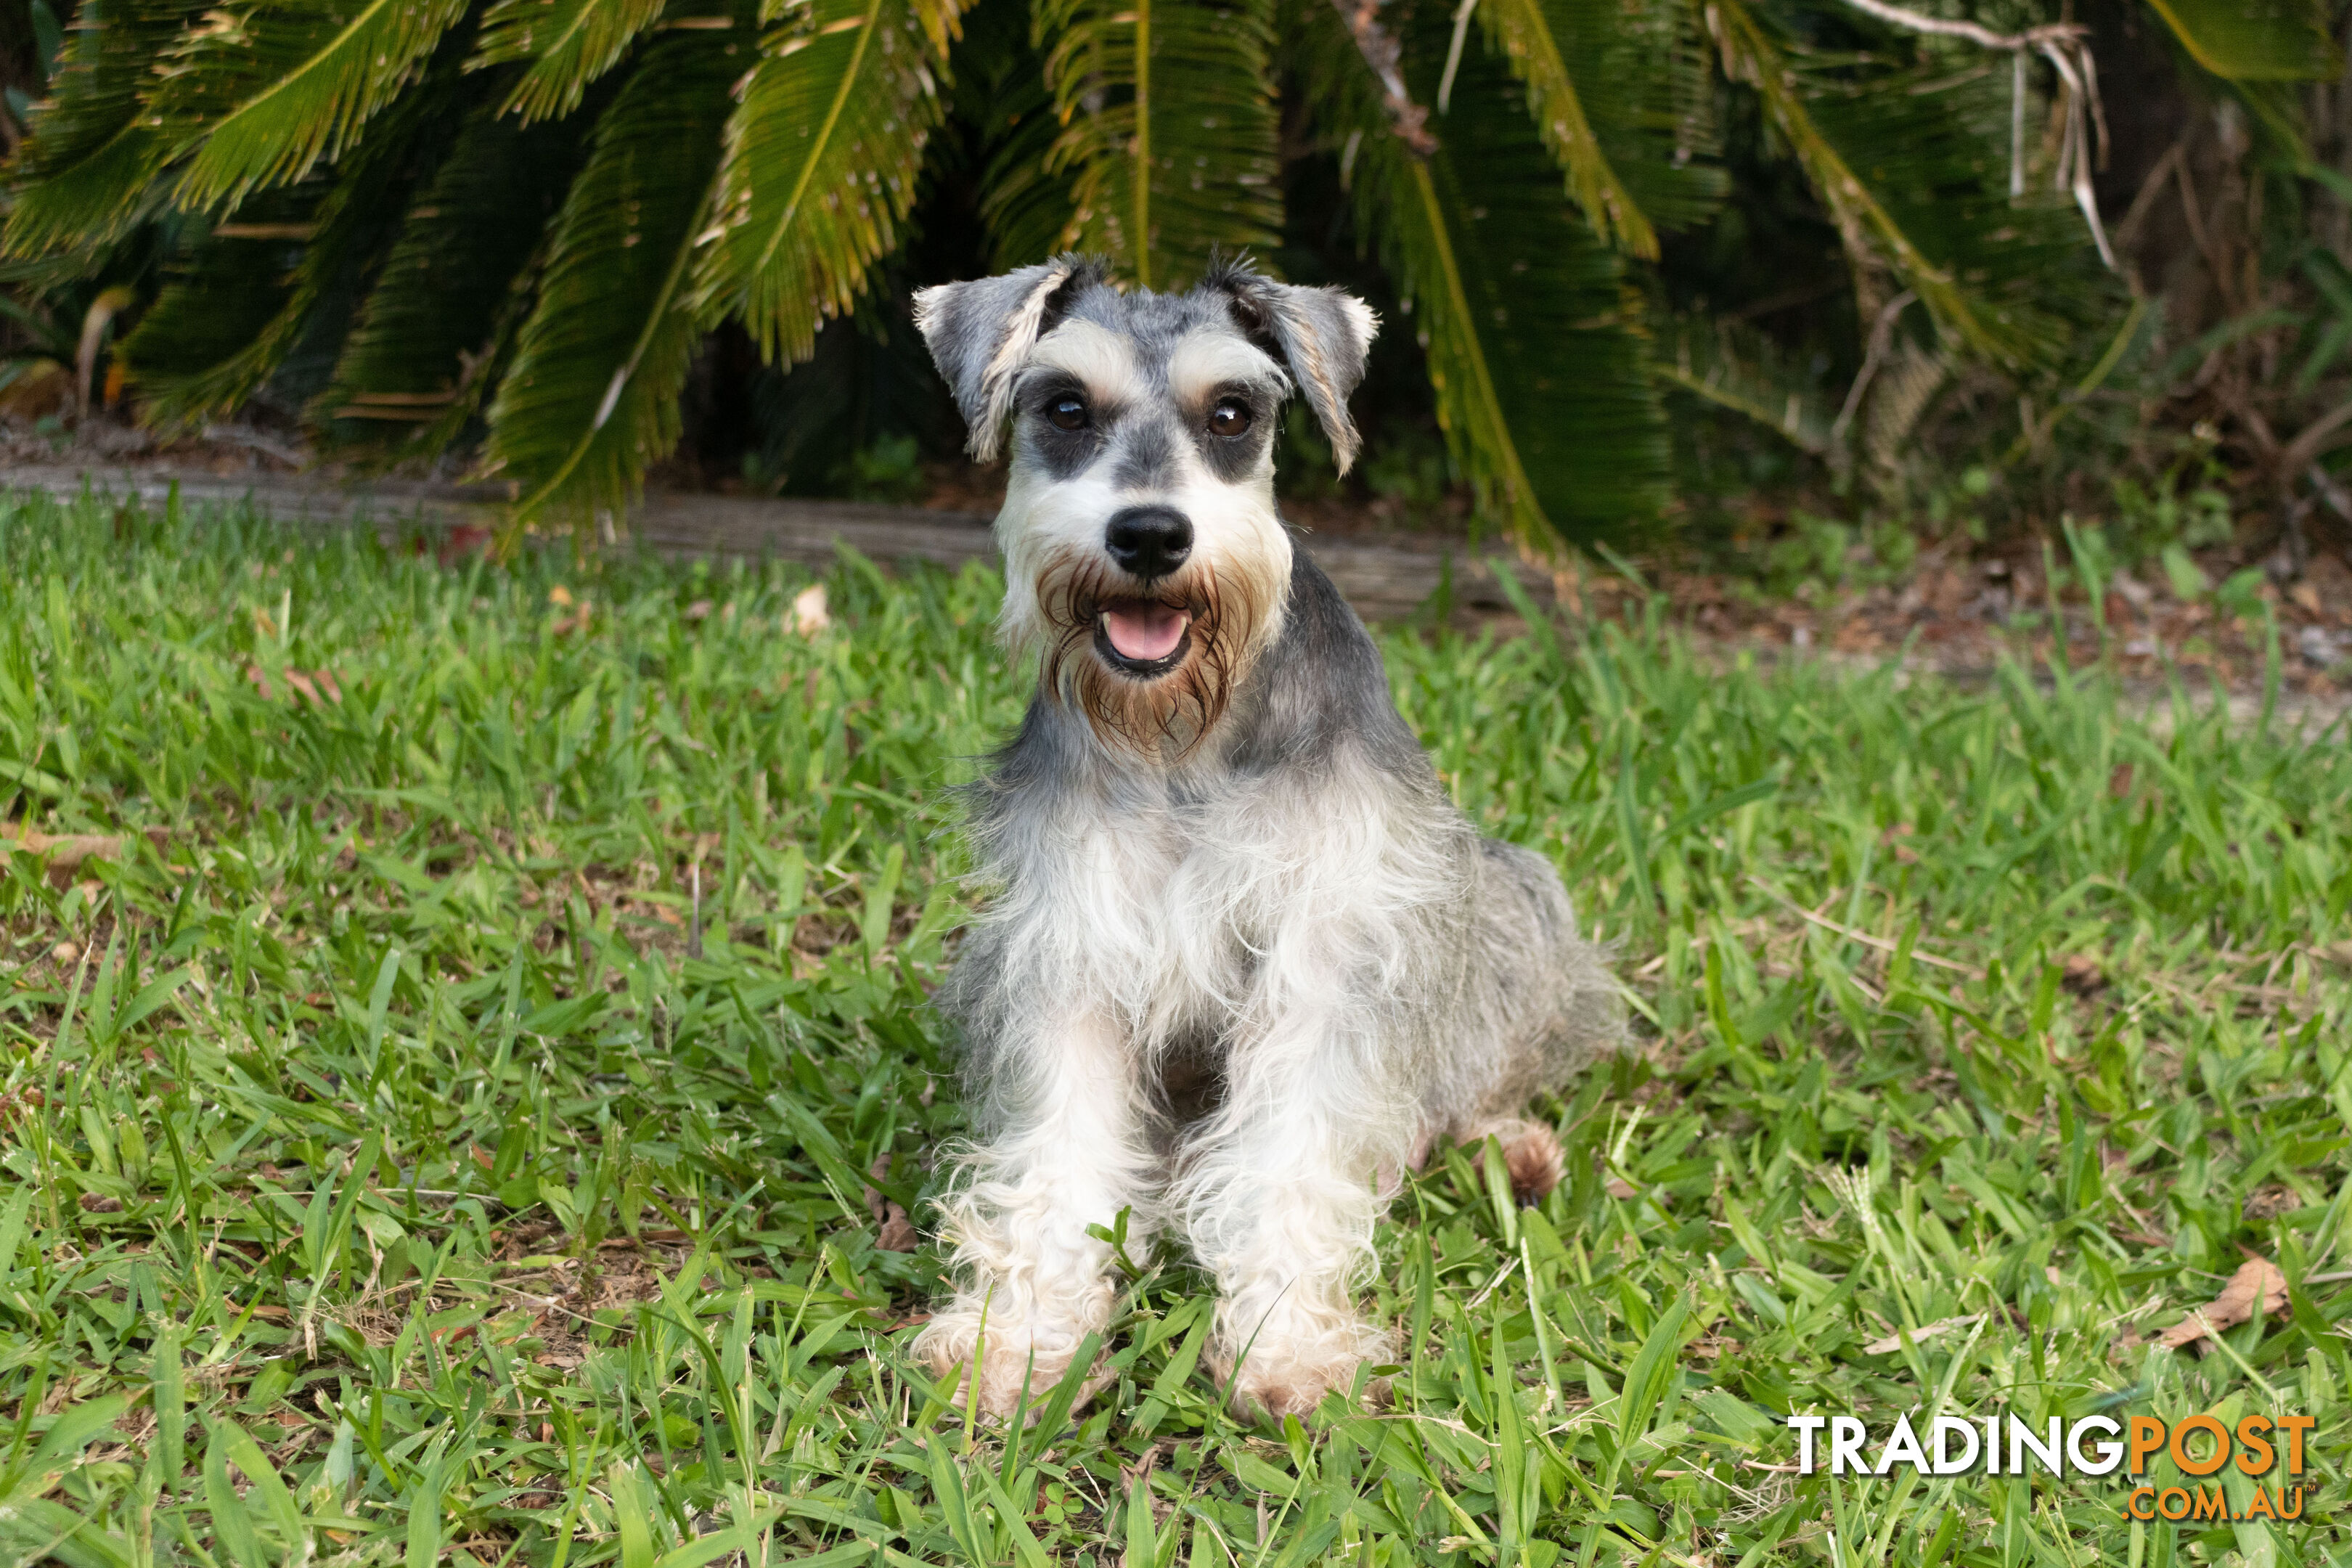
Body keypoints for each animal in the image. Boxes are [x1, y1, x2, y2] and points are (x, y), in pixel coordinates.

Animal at [898, 255, 1618, 1419]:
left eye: (1232, 412)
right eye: (1066, 408)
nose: (1151, 535)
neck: (1184, 736)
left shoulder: (1323, 950)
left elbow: (1290, 1149)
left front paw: (1284, 1346)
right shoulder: (1074, 950)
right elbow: (1060, 1147)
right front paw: (1021, 1331)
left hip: (1509, 896)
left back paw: (1505, 1147)